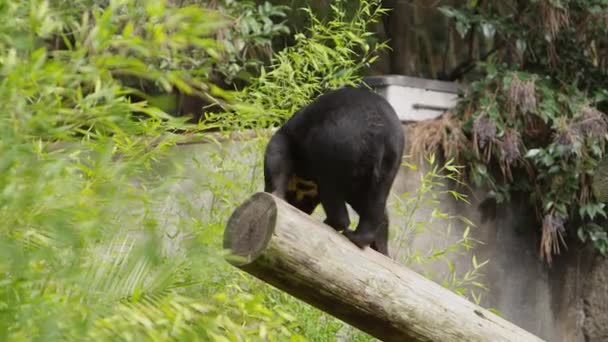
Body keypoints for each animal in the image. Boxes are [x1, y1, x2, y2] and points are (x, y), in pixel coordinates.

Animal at [264, 87, 404, 255]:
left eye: (306, 201)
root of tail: (379, 134)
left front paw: (275, 195)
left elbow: (277, 154)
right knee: (376, 201)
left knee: (332, 192)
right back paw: (358, 237)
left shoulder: (292, 138)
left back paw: (331, 224)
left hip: (335, 148)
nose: (301, 209)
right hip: (387, 166)